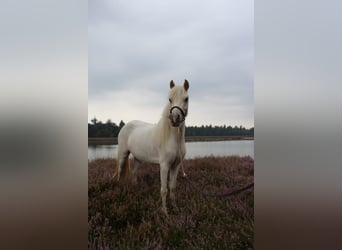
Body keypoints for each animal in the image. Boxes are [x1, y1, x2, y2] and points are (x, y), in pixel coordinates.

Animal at [115, 79, 190, 215]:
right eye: (169, 99)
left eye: (186, 98)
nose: (175, 119)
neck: (173, 139)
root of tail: (125, 126)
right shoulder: (164, 165)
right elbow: (164, 189)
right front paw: (165, 212)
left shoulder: (175, 166)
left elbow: (172, 188)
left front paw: (175, 208)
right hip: (123, 155)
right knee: (119, 171)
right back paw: (118, 189)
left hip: (138, 159)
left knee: (134, 173)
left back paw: (136, 189)